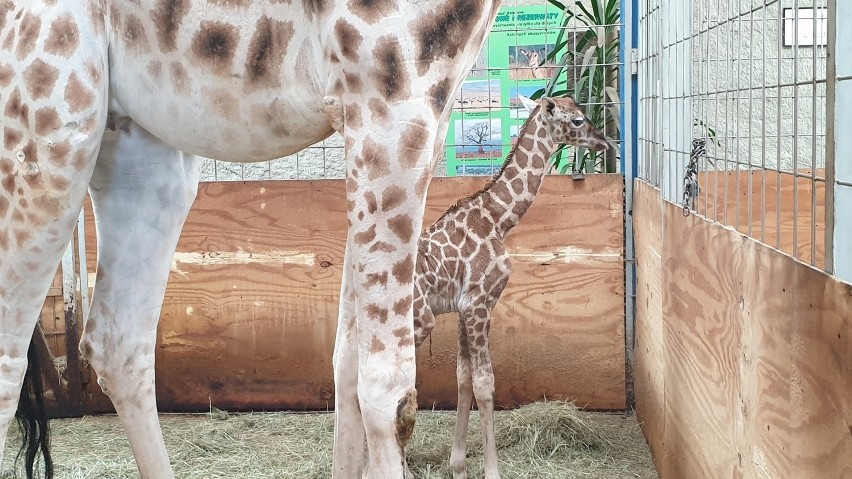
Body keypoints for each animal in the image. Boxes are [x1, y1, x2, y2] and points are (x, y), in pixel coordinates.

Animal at [0, 1, 502, 478]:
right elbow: (390, 397)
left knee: (117, 342)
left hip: (141, 146)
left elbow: (347, 363)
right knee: (11, 362)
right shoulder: (388, 97)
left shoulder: (413, 112)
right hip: (50, 130)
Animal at [412, 94, 604, 479]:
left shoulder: (464, 308)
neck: (498, 219)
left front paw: (458, 465)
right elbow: (485, 385)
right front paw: (491, 471)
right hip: (418, 320)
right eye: (577, 120)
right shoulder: (481, 303)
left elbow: (463, 377)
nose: (605, 142)